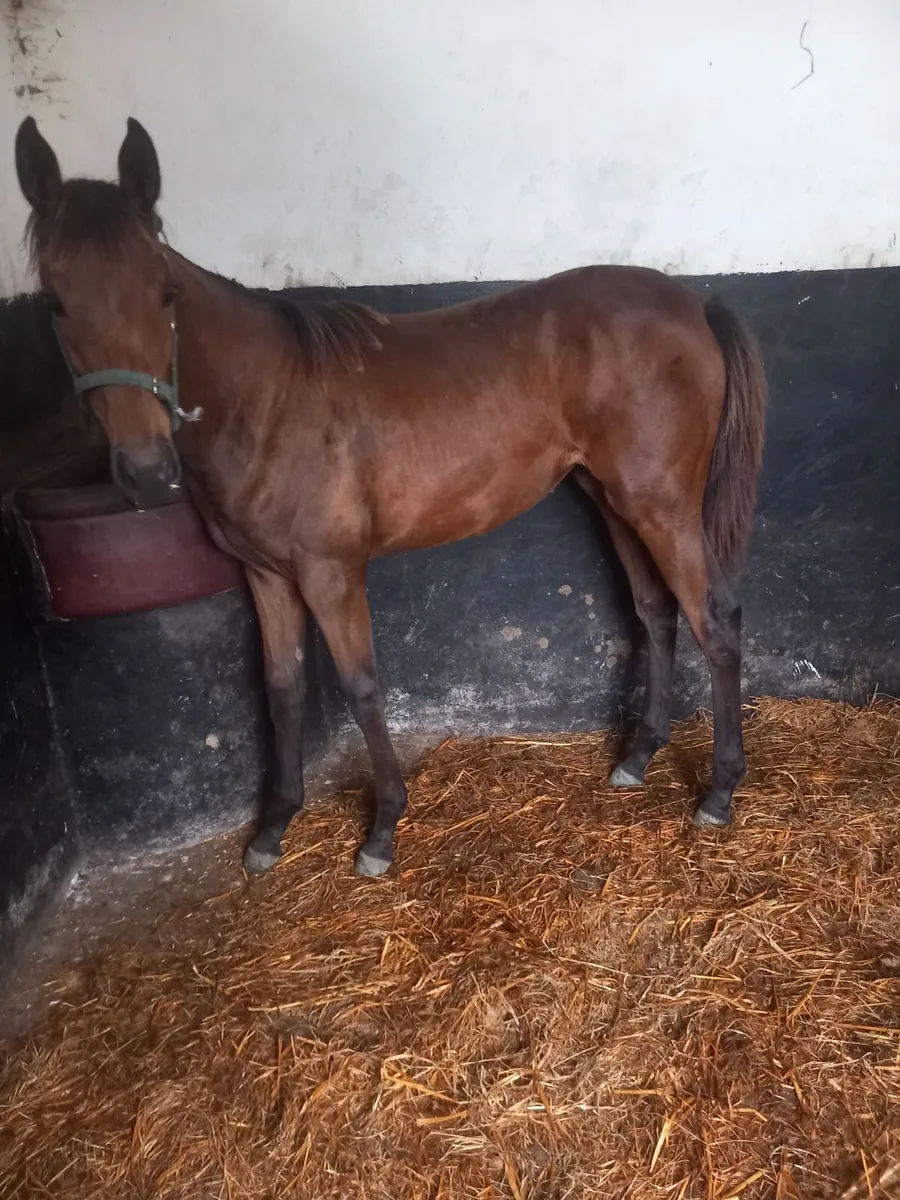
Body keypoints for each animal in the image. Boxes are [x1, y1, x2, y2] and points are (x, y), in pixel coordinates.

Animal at [14, 115, 767, 878]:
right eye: (55, 302)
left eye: (164, 292)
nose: (144, 470)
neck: (267, 400)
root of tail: (696, 302)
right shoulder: (265, 576)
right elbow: (282, 689)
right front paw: (273, 827)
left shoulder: (330, 571)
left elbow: (362, 686)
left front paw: (380, 831)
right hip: (614, 499)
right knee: (657, 612)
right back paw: (639, 757)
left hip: (662, 506)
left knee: (715, 618)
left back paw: (719, 792)